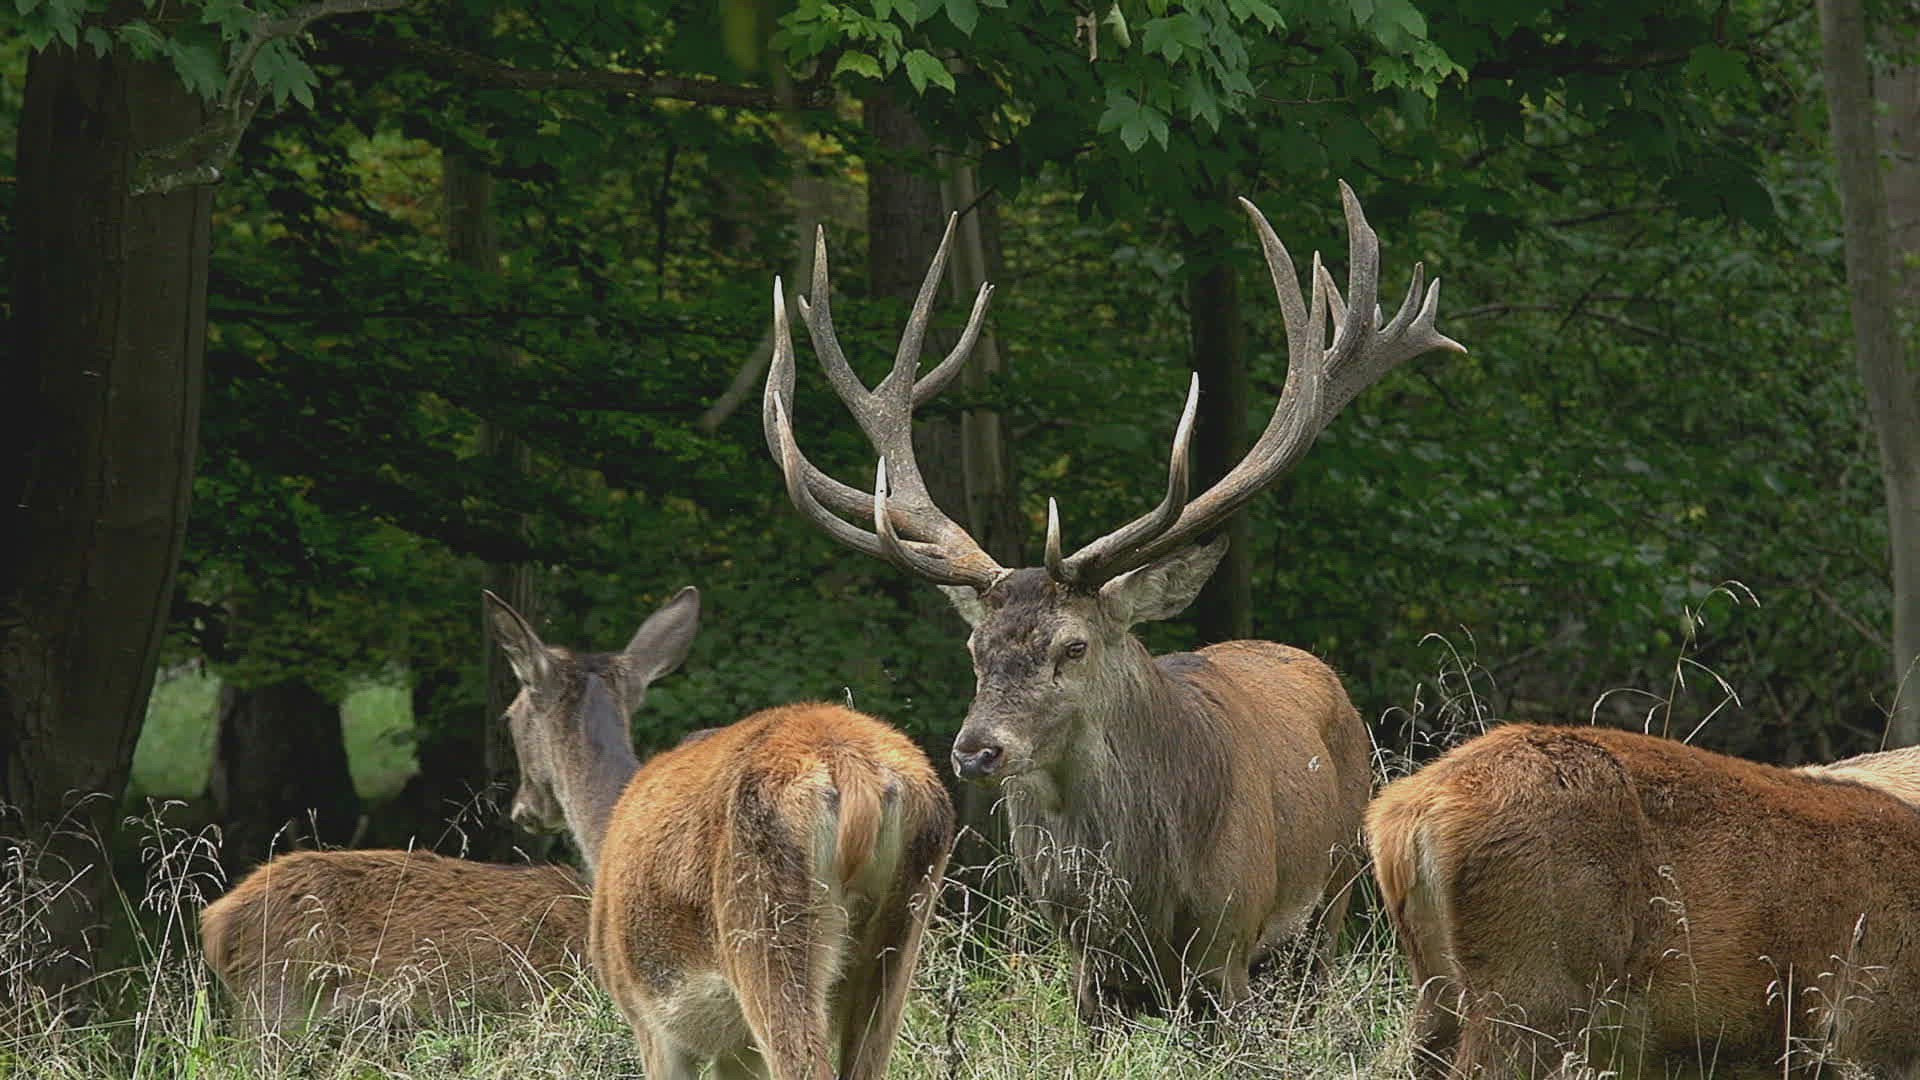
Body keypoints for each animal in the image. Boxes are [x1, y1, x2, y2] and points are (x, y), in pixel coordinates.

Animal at [483, 587, 955, 1080]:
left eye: (510, 715)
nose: (523, 808)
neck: (606, 825)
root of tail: (852, 770)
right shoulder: (733, 1047)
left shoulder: (647, 1016)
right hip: (904, 921)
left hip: (763, 918)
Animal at [760, 182, 1463, 1022]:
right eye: (976, 648)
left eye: (1074, 645)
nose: (976, 750)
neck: (1142, 898)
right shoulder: (1088, 970)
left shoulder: (1225, 950)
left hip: (1331, 897)